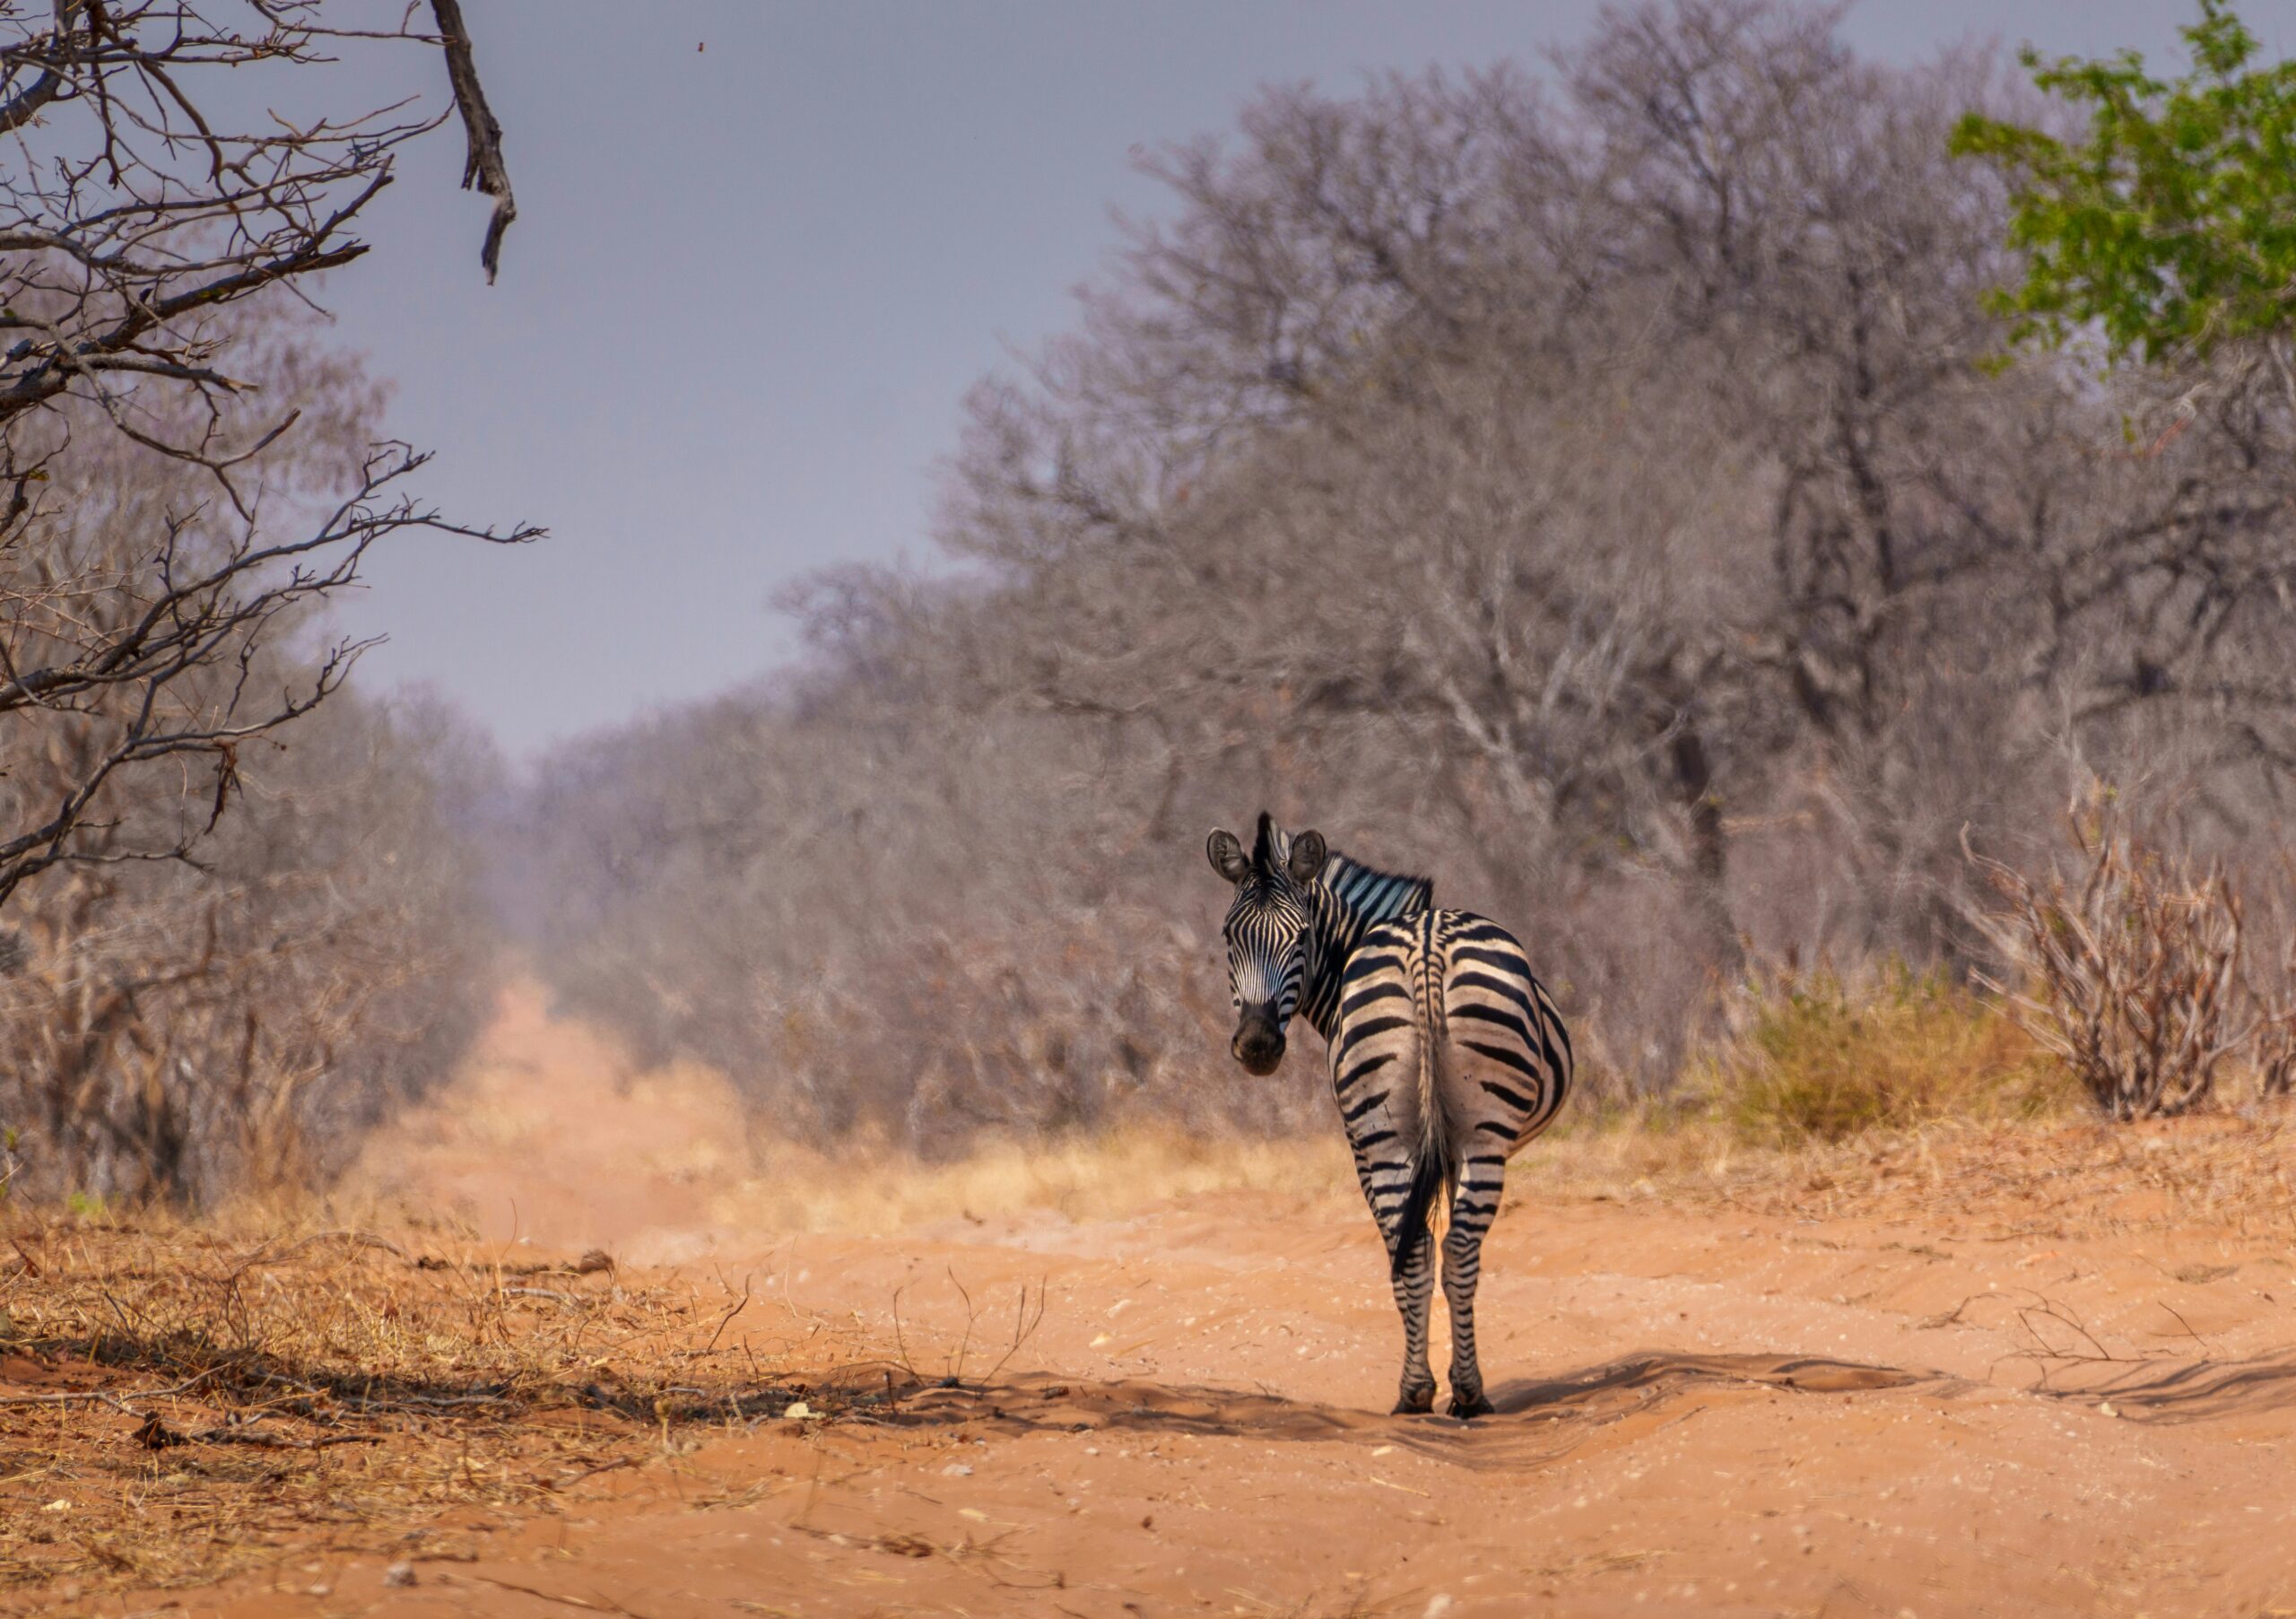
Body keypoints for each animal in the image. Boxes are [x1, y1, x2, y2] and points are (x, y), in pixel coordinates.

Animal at [1206, 812, 1571, 1418]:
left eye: (1302, 937)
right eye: (1230, 937)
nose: (1257, 1046)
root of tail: (1426, 947)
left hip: (1392, 1139)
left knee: (1425, 1248)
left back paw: (1428, 1391)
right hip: (1471, 1136)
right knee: (1452, 1249)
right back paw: (1457, 1392)